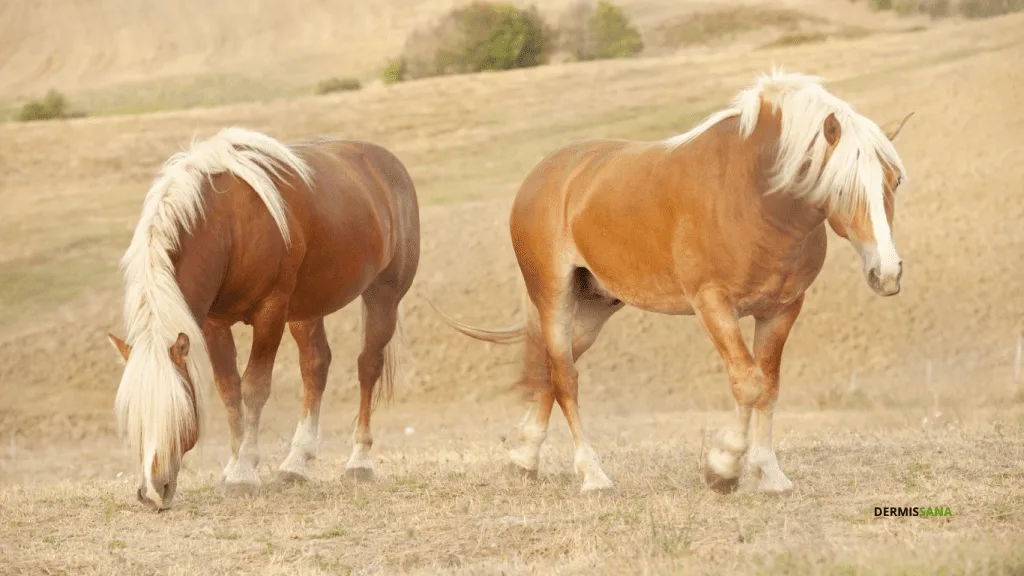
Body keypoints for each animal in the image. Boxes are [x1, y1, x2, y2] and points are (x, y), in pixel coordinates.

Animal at [106, 128, 420, 510]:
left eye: (178, 411)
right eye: (133, 416)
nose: (152, 492)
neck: (227, 223)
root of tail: (388, 165)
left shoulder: (270, 313)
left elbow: (254, 388)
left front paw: (243, 472)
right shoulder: (214, 323)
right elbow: (229, 390)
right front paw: (233, 465)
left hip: (383, 295)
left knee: (367, 366)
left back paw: (359, 461)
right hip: (305, 309)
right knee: (315, 366)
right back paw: (296, 464)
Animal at [431, 70, 914, 495]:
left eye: (895, 181)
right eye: (841, 187)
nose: (887, 272)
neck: (754, 196)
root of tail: (544, 174)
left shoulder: (782, 309)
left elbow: (769, 388)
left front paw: (769, 474)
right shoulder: (712, 303)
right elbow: (749, 383)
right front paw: (723, 468)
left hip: (591, 309)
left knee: (552, 370)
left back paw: (525, 460)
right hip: (554, 298)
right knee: (566, 378)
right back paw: (593, 476)